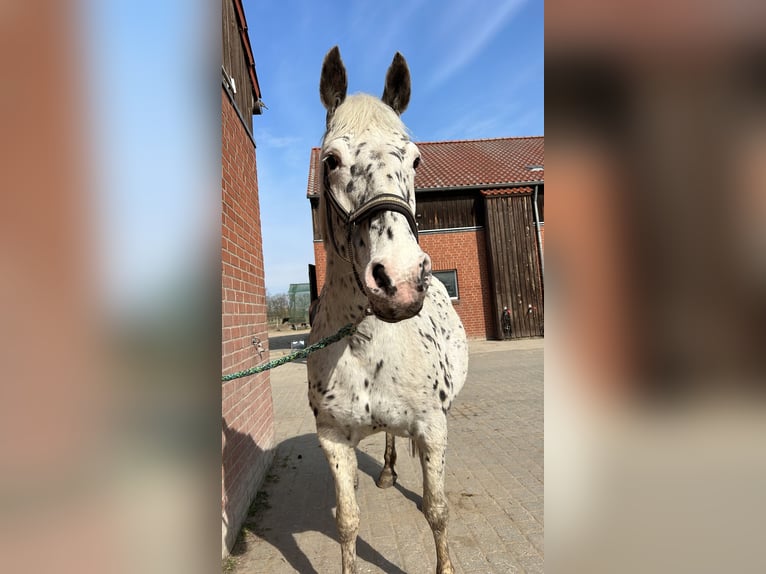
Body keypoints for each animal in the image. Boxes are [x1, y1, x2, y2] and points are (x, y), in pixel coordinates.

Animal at [308, 46, 468, 574]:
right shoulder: (333, 440)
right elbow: (347, 523)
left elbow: (437, 511)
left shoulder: (433, 428)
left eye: (416, 159)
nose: (399, 281)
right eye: (331, 160)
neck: (366, 347)